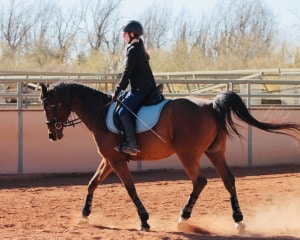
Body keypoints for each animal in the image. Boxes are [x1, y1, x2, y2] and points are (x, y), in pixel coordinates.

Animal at [39, 81, 300, 232]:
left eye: (51, 106)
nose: (52, 134)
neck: (101, 114)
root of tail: (210, 105)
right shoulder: (108, 159)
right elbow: (92, 184)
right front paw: (83, 216)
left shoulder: (116, 160)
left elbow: (130, 188)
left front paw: (144, 220)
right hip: (215, 152)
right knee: (229, 180)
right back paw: (238, 220)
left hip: (188, 154)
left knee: (199, 181)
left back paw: (183, 218)